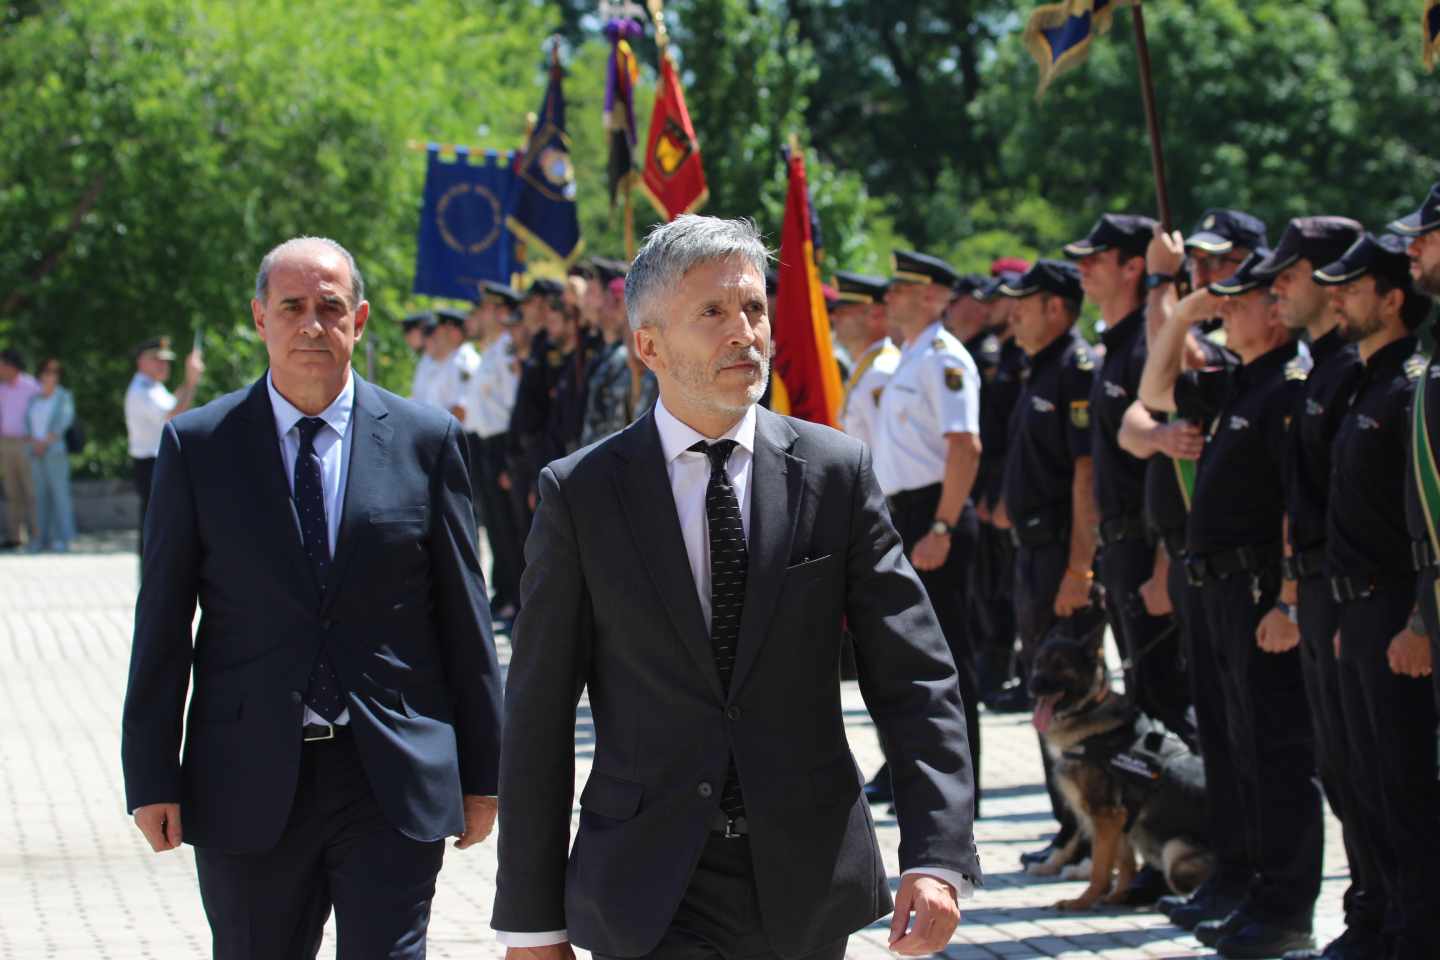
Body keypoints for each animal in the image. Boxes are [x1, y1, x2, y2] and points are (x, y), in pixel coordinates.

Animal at [1025, 613, 1215, 915]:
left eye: (1060, 665)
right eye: (1038, 664)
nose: (1032, 686)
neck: (1088, 713)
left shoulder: (1104, 815)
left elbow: (1101, 868)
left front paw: (1083, 901)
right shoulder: (1120, 818)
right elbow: (1124, 863)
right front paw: (1115, 896)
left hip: (1175, 849)